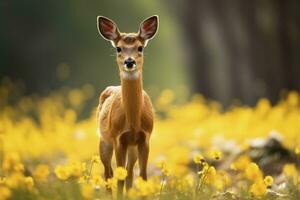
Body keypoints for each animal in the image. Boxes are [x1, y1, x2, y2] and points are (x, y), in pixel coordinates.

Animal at [96, 14, 158, 198]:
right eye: (118, 48)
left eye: (140, 48)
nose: (129, 62)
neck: (133, 122)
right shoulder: (118, 138)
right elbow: (119, 177)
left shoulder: (145, 137)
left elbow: (142, 176)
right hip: (104, 140)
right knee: (108, 172)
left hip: (131, 147)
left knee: (129, 173)